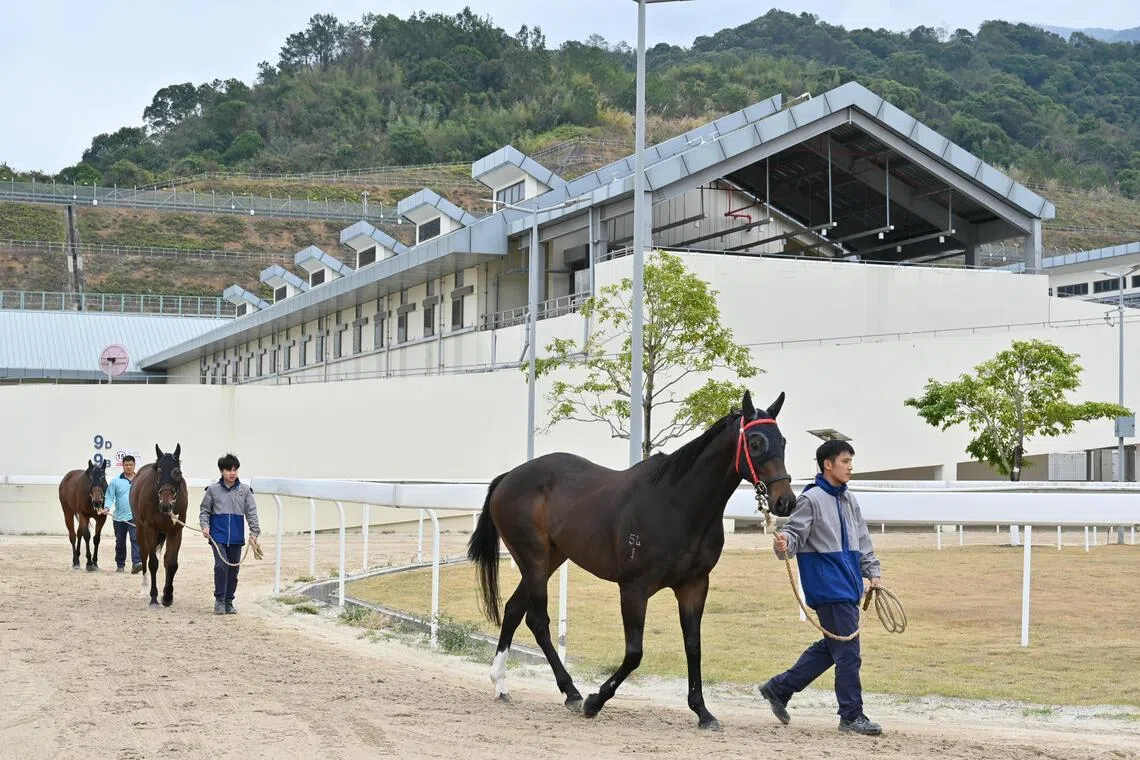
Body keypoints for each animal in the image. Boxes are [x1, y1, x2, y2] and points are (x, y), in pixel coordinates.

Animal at [130, 444, 188, 607]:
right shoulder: (151, 529)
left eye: (177, 473)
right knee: (144, 556)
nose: (166, 505)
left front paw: (167, 596)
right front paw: (154, 597)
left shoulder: (176, 531)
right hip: (140, 530)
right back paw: (144, 589)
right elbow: (153, 563)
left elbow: (171, 563)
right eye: (159, 473)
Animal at [466, 389, 796, 730]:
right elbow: (634, 652)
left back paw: (501, 683)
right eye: (755, 442)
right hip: (533, 558)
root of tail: (510, 477)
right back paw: (572, 693)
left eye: (782, 440)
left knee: (514, 609)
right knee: (537, 619)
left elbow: (693, 645)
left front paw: (702, 712)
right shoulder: (634, 588)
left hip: (550, 558)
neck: (676, 505)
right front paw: (595, 702)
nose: (785, 501)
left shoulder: (694, 586)